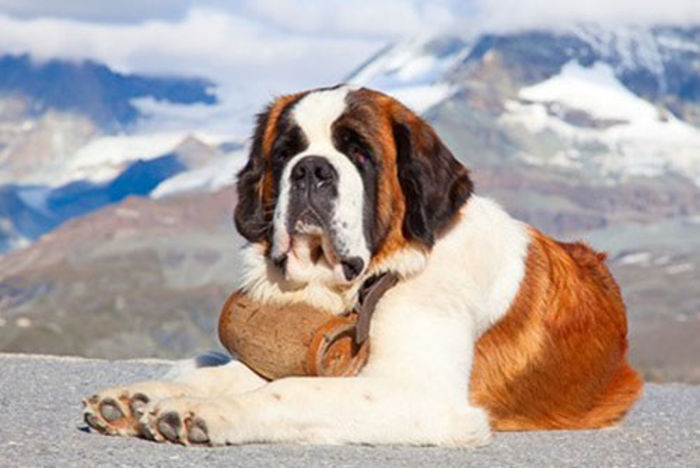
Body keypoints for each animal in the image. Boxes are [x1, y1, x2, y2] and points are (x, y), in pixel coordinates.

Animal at [82, 84, 640, 446]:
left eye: (360, 153)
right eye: (285, 153)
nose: (310, 169)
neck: (363, 283)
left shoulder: (421, 395)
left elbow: (291, 391)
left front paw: (204, 412)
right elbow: (237, 373)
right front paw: (140, 399)